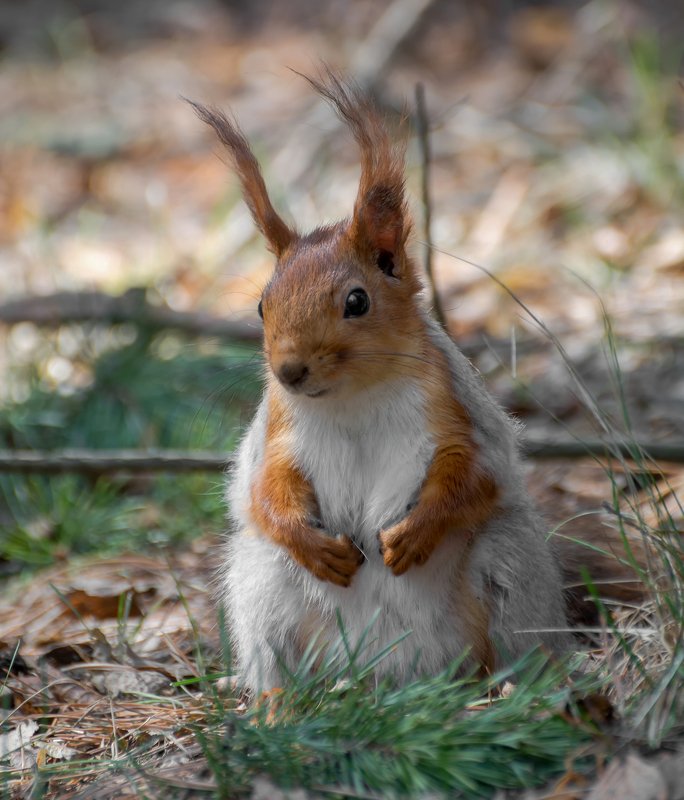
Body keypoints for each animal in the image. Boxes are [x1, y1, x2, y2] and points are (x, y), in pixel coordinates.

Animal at [190, 71, 635, 693]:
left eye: (357, 301)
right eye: (261, 305)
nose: (289, 370)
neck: (353, 397)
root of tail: (397, 673)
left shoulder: (456, 411)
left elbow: (473, 475)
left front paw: (414, 534)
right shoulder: (276, 431)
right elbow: (262, 491)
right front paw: (312, 543)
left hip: (507, 566)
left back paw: (513, 686)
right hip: (262, 580)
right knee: (276, 645)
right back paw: (281, 702)